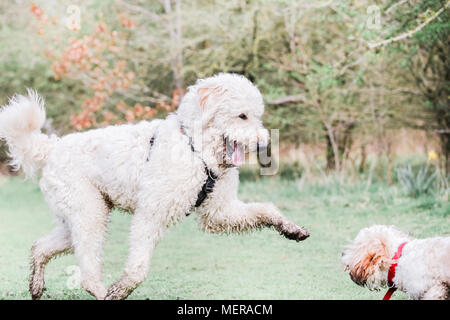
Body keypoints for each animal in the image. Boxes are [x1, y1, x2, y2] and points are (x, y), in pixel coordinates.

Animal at [0, 73, 310, 300]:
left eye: (257, 116)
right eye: (242, 116)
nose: (263, 144)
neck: (195, 148)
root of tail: (52, 148)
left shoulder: (219, 212)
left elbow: (264, 210)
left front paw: (290, 228)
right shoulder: (151, 214)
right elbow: (137, 268)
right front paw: (122, 288)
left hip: (83, 217)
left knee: (40, 246)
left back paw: (36, 285)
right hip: (89, 216)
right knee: (86, 273)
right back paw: (103, 293)